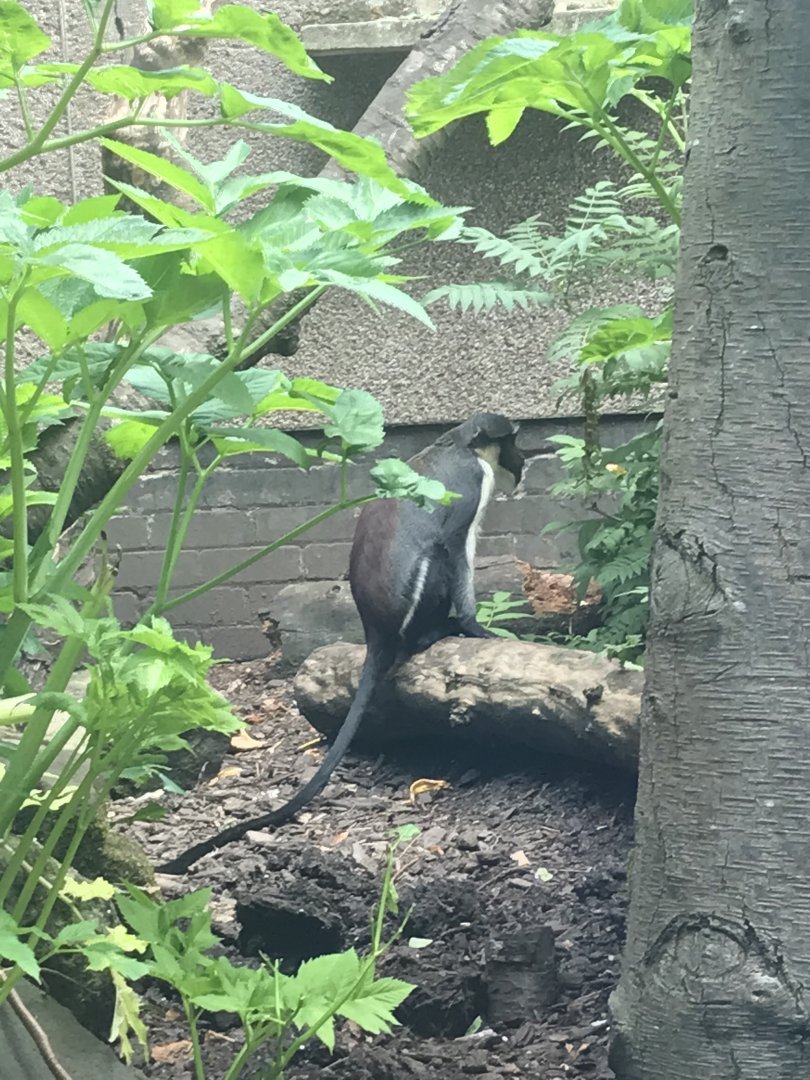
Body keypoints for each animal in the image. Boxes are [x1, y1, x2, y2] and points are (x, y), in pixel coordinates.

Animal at [156, 413, 523, 874]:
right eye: (510, 441)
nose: (521, 460)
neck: (459, 443)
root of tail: (375, 630)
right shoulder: (471, 484)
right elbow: (457, 544)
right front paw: (476, 626)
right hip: (418, 598)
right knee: (437, 555)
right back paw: (436, 632)